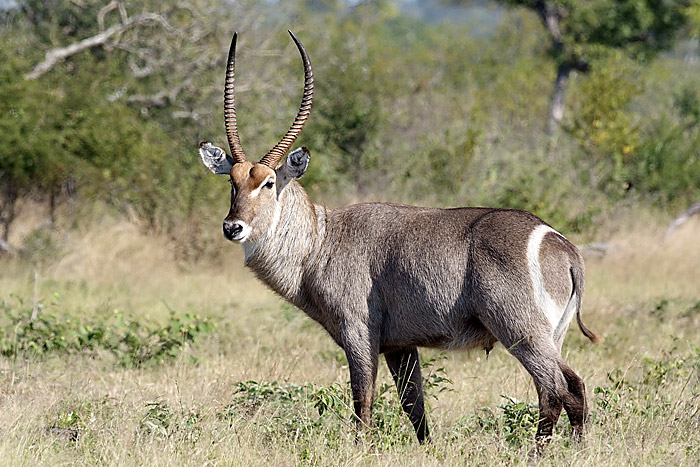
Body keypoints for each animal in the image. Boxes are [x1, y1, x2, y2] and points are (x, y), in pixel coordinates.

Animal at [200, 31, 600, 448]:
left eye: (267, 182)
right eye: (232, 182)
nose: (233, 227)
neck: (321, 241)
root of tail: (562, 246)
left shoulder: (359, 332)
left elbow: (363, 401)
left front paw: (359, 450)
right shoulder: (400, 344)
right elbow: (414, 406)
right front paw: (427, 449)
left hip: (522, 331)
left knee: (556, 389)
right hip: (550, 336)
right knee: (571, 387)